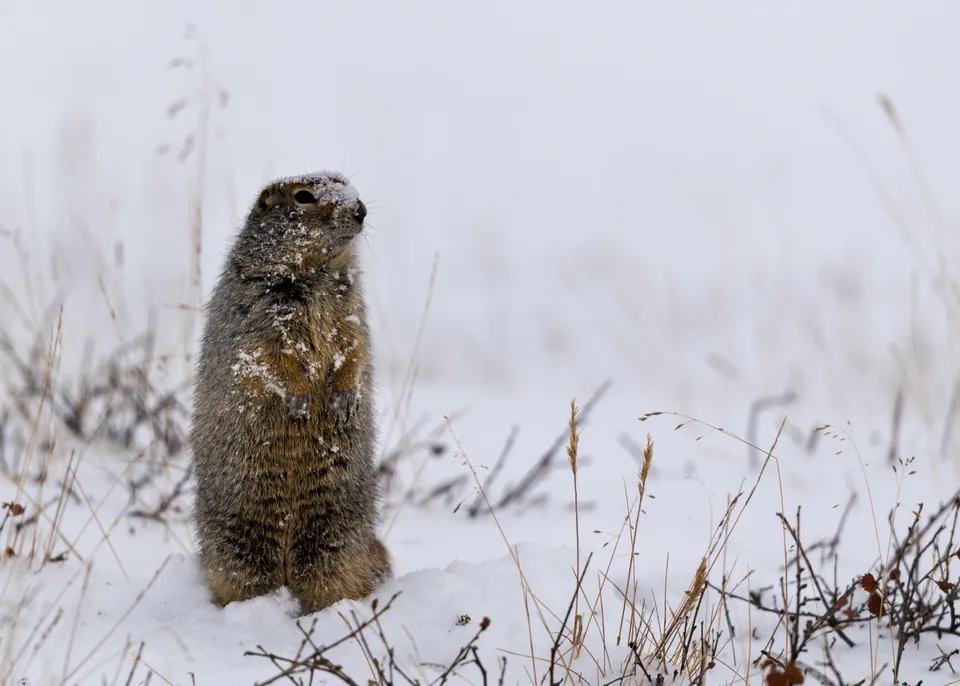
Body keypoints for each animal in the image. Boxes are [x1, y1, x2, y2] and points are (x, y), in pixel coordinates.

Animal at [190, 171, 390, 614]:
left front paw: (344, 396)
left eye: (346, 182)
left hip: (338, 536)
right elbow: (267, 353)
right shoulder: (256, 306)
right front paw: (300, 399)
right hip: (237, 541)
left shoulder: (352, 306)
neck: (317, 274)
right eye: (303, 197)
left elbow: (355, 344)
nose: (360, 208)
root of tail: (285, 568)